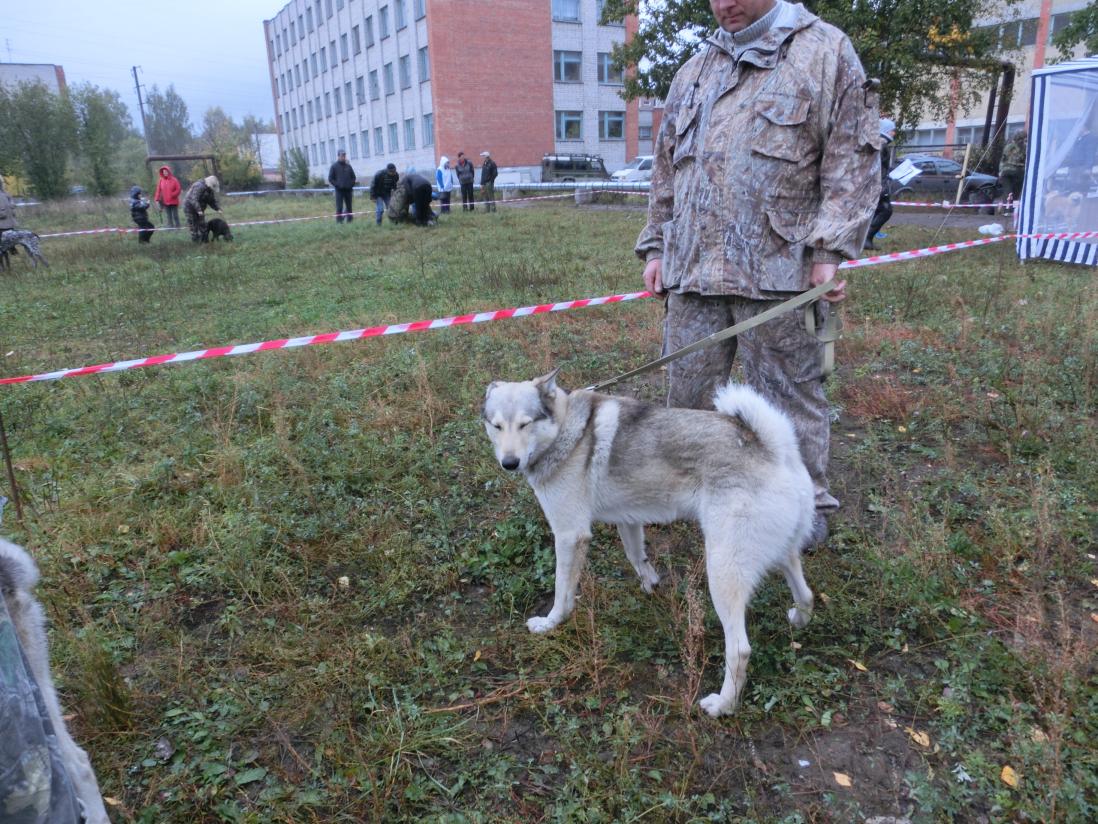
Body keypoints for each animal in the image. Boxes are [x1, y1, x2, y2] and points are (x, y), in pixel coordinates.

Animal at [483, 371, 816, 717]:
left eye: (525, 424)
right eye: (496, 426)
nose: (509, 462)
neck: (567, 430)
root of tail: (776, 449)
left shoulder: (570, 535)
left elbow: (562, 591)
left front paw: (551, 623)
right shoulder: (628, 519)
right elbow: (635, 555)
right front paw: (650, 583)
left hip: (722, 573)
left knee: (740, 650)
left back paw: (723, 704)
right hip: (780, 553)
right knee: (806, 592)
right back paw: (799, 620)